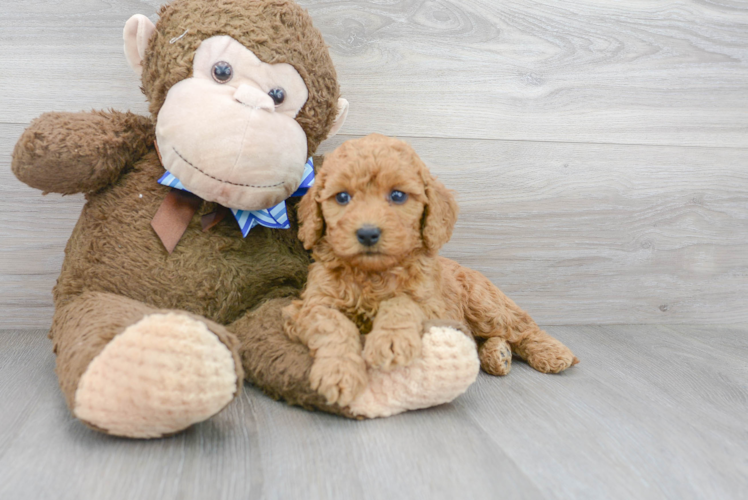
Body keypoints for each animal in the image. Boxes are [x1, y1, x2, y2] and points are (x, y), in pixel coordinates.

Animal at [284, 134, 580, 406]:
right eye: (342, 197)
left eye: (397, 195)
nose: (368, 233)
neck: (372, 273)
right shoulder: (309, 306)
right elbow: (333, 325)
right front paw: (338, 373)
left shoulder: (435, 308)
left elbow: (402, 301)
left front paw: (391, 341)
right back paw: (498, 354)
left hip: (485, 306)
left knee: (522, 326)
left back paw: (553, 353)